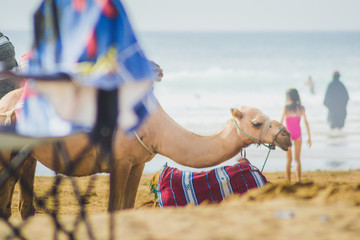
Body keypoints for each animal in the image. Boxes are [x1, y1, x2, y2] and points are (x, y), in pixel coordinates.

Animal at [0, 87, 292, 219]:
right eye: (257, 122)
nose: (287, 136)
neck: (156, 127)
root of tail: (6, 102)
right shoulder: (120, 161)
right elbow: (113, 208)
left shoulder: (138, 163)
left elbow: (128, 207)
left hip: (29, 154)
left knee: (22, 204)